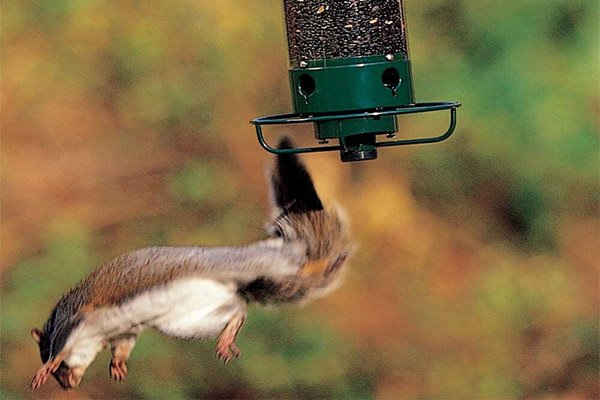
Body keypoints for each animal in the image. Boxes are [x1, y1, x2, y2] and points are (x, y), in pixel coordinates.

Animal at [30, 138, 352, 390]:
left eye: (46, 354)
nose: (68, 385)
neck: (96, 335)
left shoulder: (76, 318)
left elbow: (62, 347)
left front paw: (47, 367)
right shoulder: (123, 332)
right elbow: (123, 346)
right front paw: (118, 365)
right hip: (189, 320)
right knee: (237, 309)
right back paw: (228, 334)